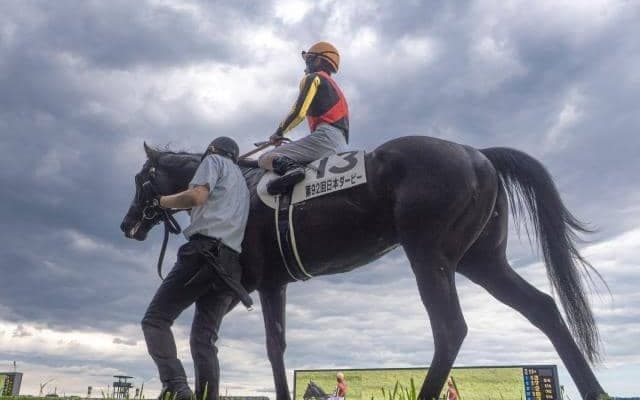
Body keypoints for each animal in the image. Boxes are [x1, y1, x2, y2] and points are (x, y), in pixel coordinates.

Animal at [120, 136, 608, 400]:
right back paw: (595, 389)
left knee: (450, 328)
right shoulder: (253, 285)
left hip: (429, 256)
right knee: (542, 307)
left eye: (141, 179)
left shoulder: (246, 285)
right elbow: (261, 347)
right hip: (482, 260)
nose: (127, 225)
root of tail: (477, 153)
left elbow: (267, 348)